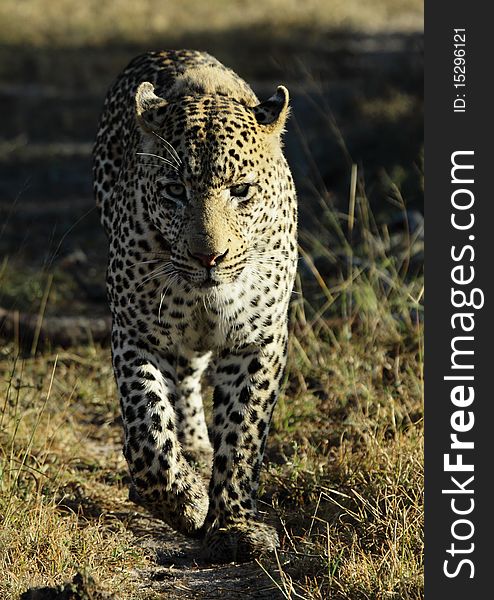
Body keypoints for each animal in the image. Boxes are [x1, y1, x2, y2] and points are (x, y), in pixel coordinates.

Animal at [92, 50, 298, 564]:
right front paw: (186, 502)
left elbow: (243, 432)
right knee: (181, 380)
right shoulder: (136, 333)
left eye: (241, 191)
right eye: (174, 191)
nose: (210, 257)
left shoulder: (258, 340)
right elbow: (148, 432)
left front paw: (235, 525)